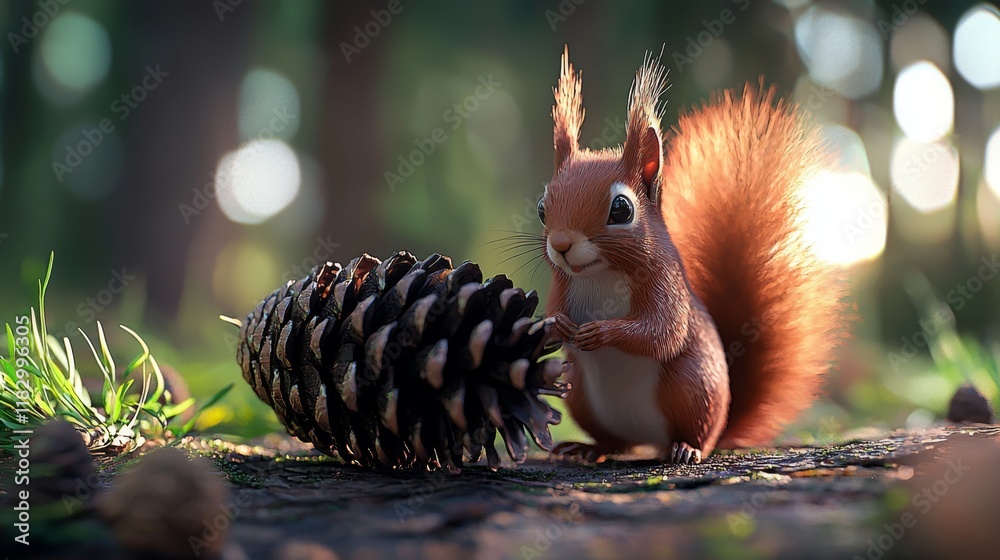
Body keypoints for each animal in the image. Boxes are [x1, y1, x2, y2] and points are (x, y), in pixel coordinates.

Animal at [538, 48, 847, 464]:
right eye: (542, 208)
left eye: (621, 209)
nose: (561, 244)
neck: (600, 273)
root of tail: (648, 439)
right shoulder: (562, 283)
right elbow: (555, 316)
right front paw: (556, 326)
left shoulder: (665, 283)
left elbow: (661, 332)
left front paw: (601, 332)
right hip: (582, 394)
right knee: (614, 442)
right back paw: (587, 448)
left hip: (692, 386)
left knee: (696, 432)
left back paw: (686, 448)